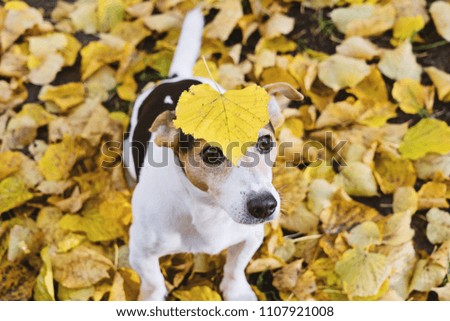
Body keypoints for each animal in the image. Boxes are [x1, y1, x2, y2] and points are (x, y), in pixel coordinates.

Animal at [125, 7, 304, 300]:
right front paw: (151, 299)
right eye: (211, 154)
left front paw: (237, 292)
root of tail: (176, 79)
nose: (264, 206)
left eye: (265, 142)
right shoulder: (140, 251)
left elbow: (235, 267)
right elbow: (153, 282)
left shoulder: (250, 237)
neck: (209, 210)